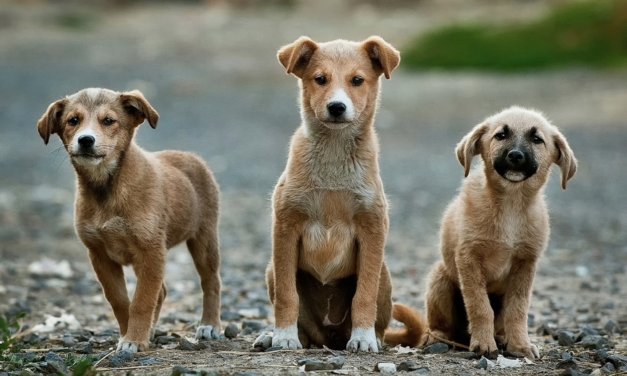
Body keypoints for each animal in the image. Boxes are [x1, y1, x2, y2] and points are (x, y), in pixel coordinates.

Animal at [37, 89, 223, 354]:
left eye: (108, 121)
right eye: (73, 120)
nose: (86, 140)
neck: (107, 188)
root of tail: (191, 156)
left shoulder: (150, 251)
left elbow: (142, 301)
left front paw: (134, 339)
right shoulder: (100, 255)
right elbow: (120, 301)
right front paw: (130, 335)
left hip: (204, 239)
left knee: (211, 282)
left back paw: (209, 325)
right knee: (162, 291)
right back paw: (152, 331)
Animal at [254, 36, 402, 352]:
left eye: (357, 80)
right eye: (320, 79)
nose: (336, 107)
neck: (334, 157)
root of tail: (330, 337)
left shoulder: (373, 228)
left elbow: (364, 295)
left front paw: (363, 338)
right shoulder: (285, 227)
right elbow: (287, 295)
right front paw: (283, 336)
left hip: (384, 274)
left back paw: (371, 337)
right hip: (271, 269)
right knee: (303, 326)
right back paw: (275, 336)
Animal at [392, 106, 580, 358]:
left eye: (537, 139)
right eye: (500, 135)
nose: (516, 156)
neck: (510, 205)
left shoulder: (525, 264)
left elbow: (518, 310)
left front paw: (520, 344)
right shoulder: (468, 259)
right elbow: (480, 306)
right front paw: (483, 343)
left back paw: (501, 338)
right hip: (440, 280)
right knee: (439, 326)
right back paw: (438, 338)